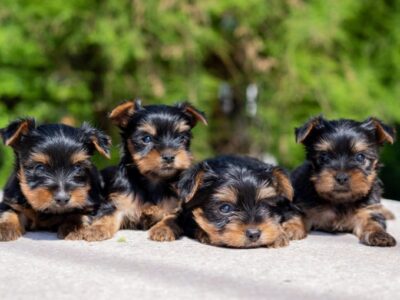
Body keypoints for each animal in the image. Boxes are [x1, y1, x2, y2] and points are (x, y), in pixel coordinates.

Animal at [88, 100, 208, 241]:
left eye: (181, 138)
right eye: (146, 139)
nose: (169, 156)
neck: (154, 180)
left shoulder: (177, 207)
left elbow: (172, 218)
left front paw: (163, 229)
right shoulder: (119, 201)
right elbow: (107, 214)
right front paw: (96, 229)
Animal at [290, 116, 396, 247]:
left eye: (360, 157)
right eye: (324, 157)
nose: (341, 177)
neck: (340, 201)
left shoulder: (367, 210)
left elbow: (374, 221)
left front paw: (379, 234)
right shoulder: (304, 205)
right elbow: (296, 214)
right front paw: (290, 228)